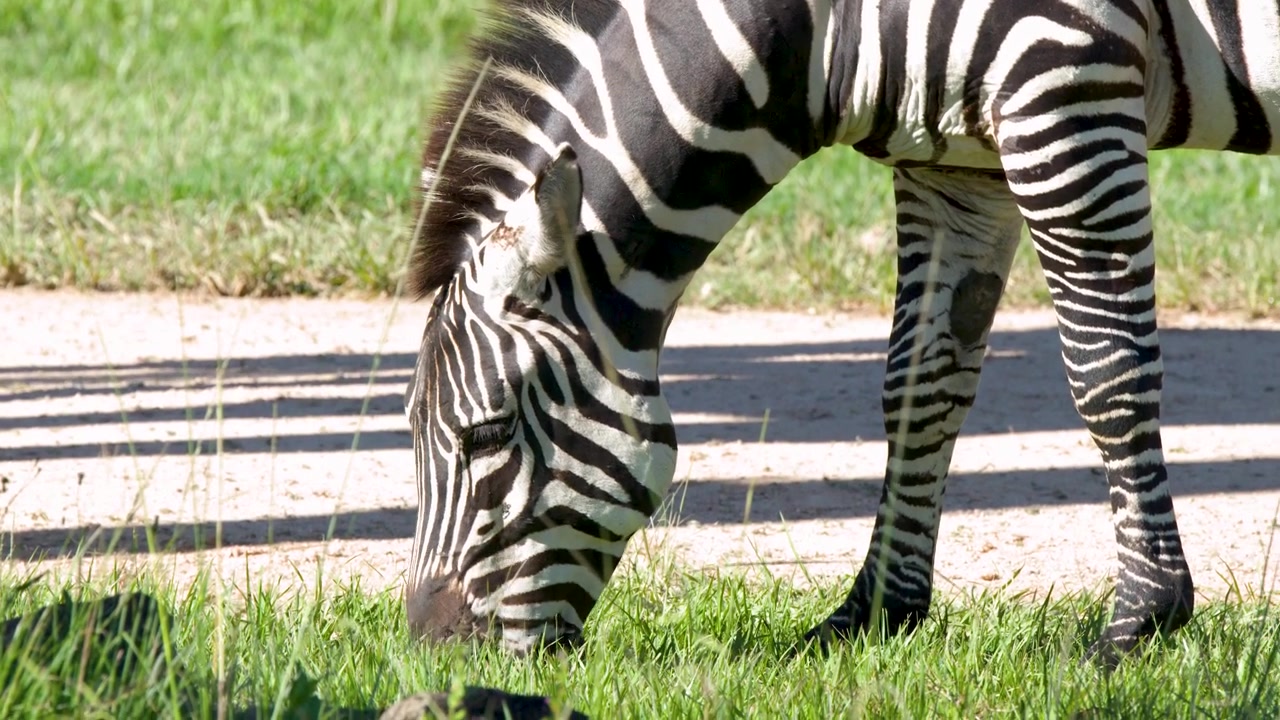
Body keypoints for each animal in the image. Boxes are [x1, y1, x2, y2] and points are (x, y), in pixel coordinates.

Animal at [402, 0, 1279, 663]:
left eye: (484, 436)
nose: (431, 655)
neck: (830, 26)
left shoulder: (1066, 84)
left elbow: (1109, 373)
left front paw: (1143, 619)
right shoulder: (956, 162)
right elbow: (920, 386)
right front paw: (877, 614)